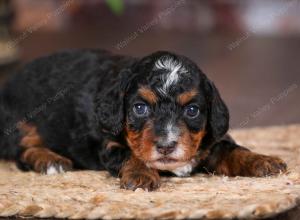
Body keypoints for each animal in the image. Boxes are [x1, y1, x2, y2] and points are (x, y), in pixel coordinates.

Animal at [0, 49, 288, 190]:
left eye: (192, 110)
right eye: (139, 108)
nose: (167, 146)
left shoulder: (212, 139)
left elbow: (232, 149)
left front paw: (262, 161)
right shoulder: (109, 144)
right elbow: (131, 154)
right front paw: (140, 174)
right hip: (20, 120)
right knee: (22, 152)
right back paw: (50, 160)